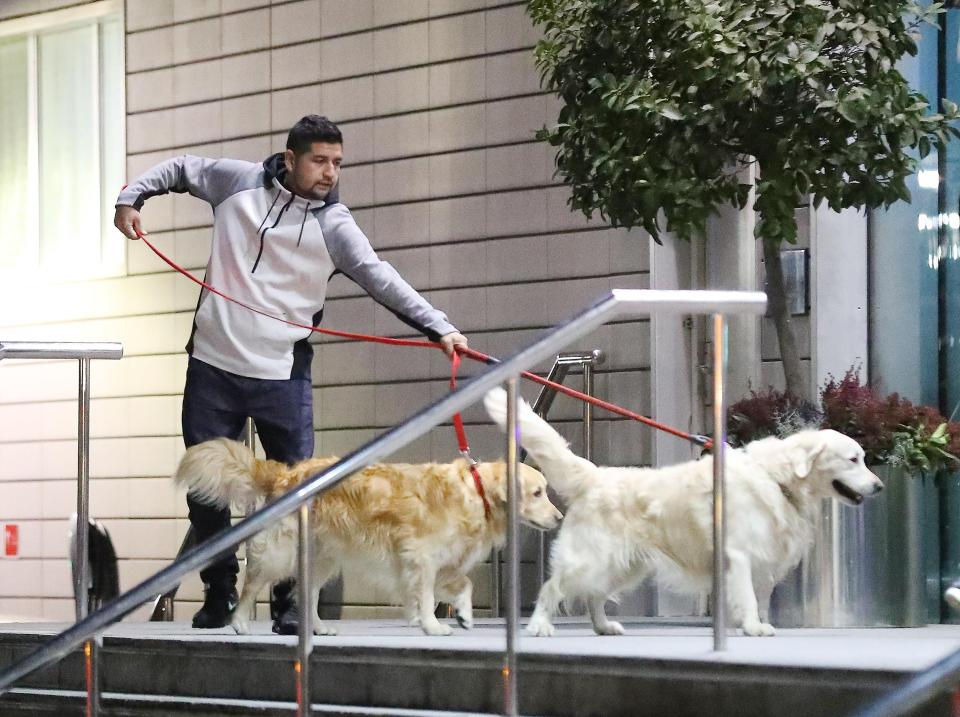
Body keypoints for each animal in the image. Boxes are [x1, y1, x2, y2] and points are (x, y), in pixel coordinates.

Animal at [173, 440, 564, 636]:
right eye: (537, 492)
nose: (560, 518)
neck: (476, 493)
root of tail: (287, 474)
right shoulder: (420, 556)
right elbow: (425, 597)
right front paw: (432, 626)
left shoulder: (440, 561)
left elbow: (462, 585)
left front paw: (464, 615)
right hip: (279, 552)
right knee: (252, 584)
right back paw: (239, 622)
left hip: (322, 557)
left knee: (307, 593)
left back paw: (318, 628)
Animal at [488, 388, 884, 636]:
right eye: (853, 459)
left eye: (863, 458)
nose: (879, 486)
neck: (777, 478)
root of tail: (595, 476)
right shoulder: (740, 555)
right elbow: (747, 596)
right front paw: (753, 627)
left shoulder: (765, 561)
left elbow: (761, 598)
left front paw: (758, 623)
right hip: (591, 558)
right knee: (553, 587)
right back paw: (539, 626)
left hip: (624, 565)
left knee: (594, 595)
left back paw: (603, 627)